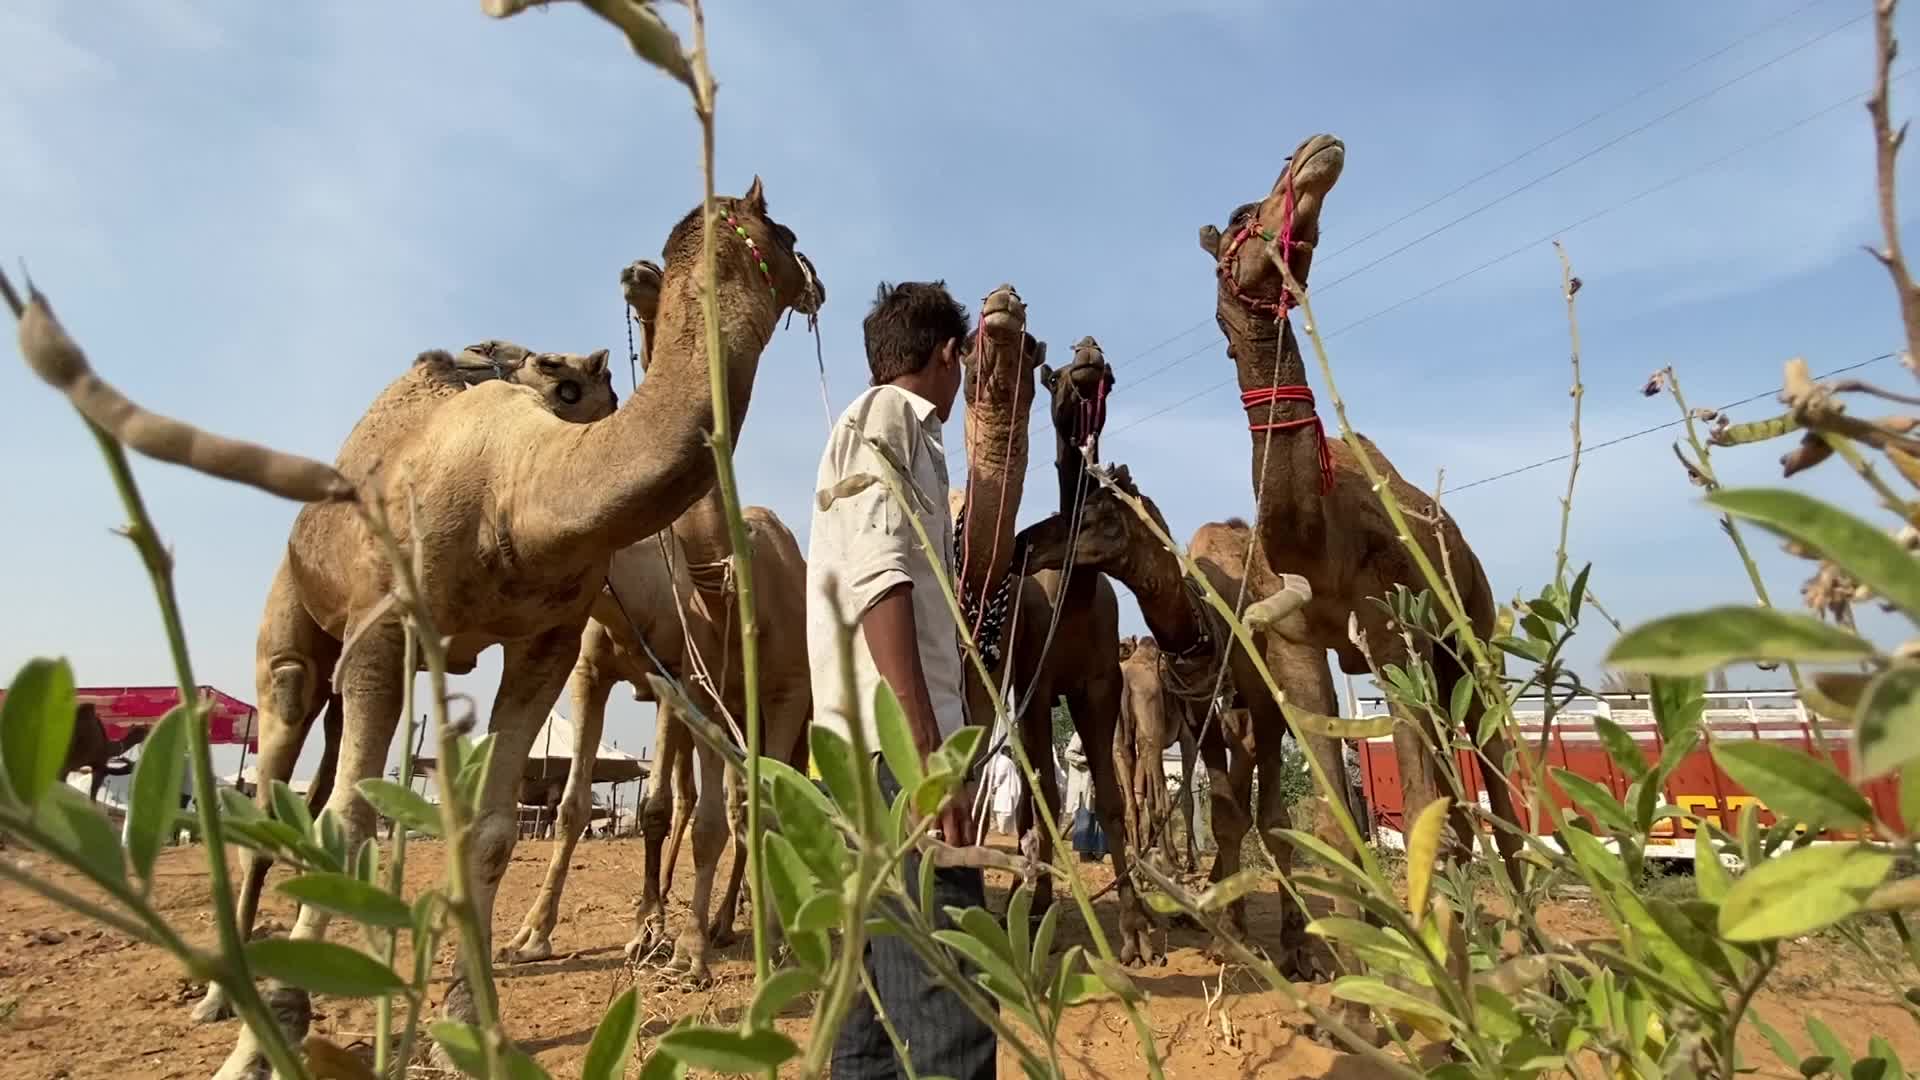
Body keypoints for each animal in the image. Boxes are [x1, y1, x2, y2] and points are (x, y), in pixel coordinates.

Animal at [190, 344, 622, 1024]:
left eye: (600, 394)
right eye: (561, 381)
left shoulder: (549, 635)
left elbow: (490, 827)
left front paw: (467, 1008)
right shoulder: (387, 617)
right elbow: (351, 815)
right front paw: (283, 1007)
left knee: (319, 772)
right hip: (293, 614)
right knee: (282, 729)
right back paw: (219, 997)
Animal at [1198, 134, 1523, 882]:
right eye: (1240, 214)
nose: (1315, 152)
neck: (1314, 539)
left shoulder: (1391, 616)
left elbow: (1418, 799)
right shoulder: (1294, 645)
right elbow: (1335, 826)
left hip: (1472, 626)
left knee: (1495, 776)